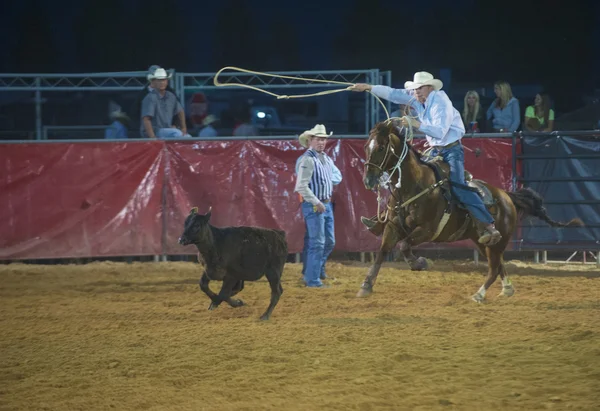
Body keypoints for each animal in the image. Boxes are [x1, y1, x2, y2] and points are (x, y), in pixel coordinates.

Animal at [356, 122, 580, 302]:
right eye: (367, 147)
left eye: (381, 147)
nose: (368, 180)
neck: (414, 186)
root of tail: (506, 195)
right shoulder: (393, 227)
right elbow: (382, 252)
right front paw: (366, 286)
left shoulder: (427, 230)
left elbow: (403, 246)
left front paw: (419, 262)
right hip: (482, 241)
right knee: (498, 264)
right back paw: (507, 289)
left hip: (499, 240)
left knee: (493, 268)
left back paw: (479, 294)